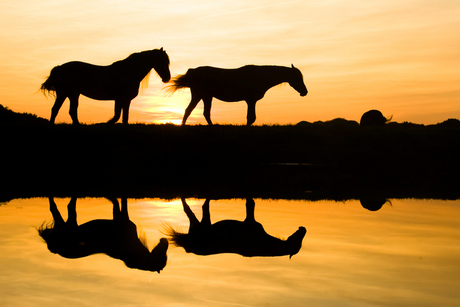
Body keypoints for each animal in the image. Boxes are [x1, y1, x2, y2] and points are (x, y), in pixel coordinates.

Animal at [38, 199, 169, 274]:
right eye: (163, 254)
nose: (165, 240)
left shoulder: (120, 218)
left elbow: (118, 202)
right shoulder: (120, 218)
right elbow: (119, 202)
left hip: (69, 225)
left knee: (64, 207)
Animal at [41, 47, 171, 124]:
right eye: (162, 61)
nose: (167, 78)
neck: (128, 72)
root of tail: (60, 68)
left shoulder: (123, 100)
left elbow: (122, 117)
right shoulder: (121, 99)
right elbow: (120, 117)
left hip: (70, 94)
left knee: (64, 110)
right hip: (67, 93)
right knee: (62, 110)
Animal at [164, 199, 306, 258]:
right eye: (298, 241)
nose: (303, 228)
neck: (263, 244)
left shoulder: (250, 221)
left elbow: (250, 203)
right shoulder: (250, 220)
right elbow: (250, 203)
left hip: (202, 225)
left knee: (198, 208)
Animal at [167, 64, 308, 125]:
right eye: (298, 78)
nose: (305, 92)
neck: (260, 76)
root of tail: (192, 71)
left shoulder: (251, 101)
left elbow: (251, 118)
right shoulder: (251, 100)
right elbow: (251, 118)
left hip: (206, 96)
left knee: (201, 112)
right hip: (200, 95)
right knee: (190, 111)